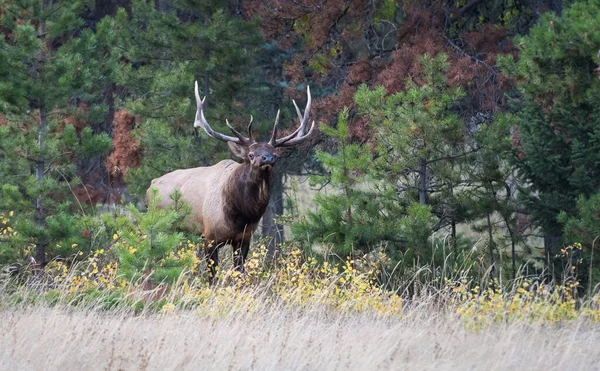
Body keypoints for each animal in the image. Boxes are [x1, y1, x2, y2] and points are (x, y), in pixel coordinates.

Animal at [148, 83, 314, 284]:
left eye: (274, 153)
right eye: (251, 154)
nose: (267, 158)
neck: (241, 215)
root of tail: (150, 186)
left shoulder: (244, 239)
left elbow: (240, 273)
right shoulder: (209, 237)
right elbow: (212, 277)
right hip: (161, 226)